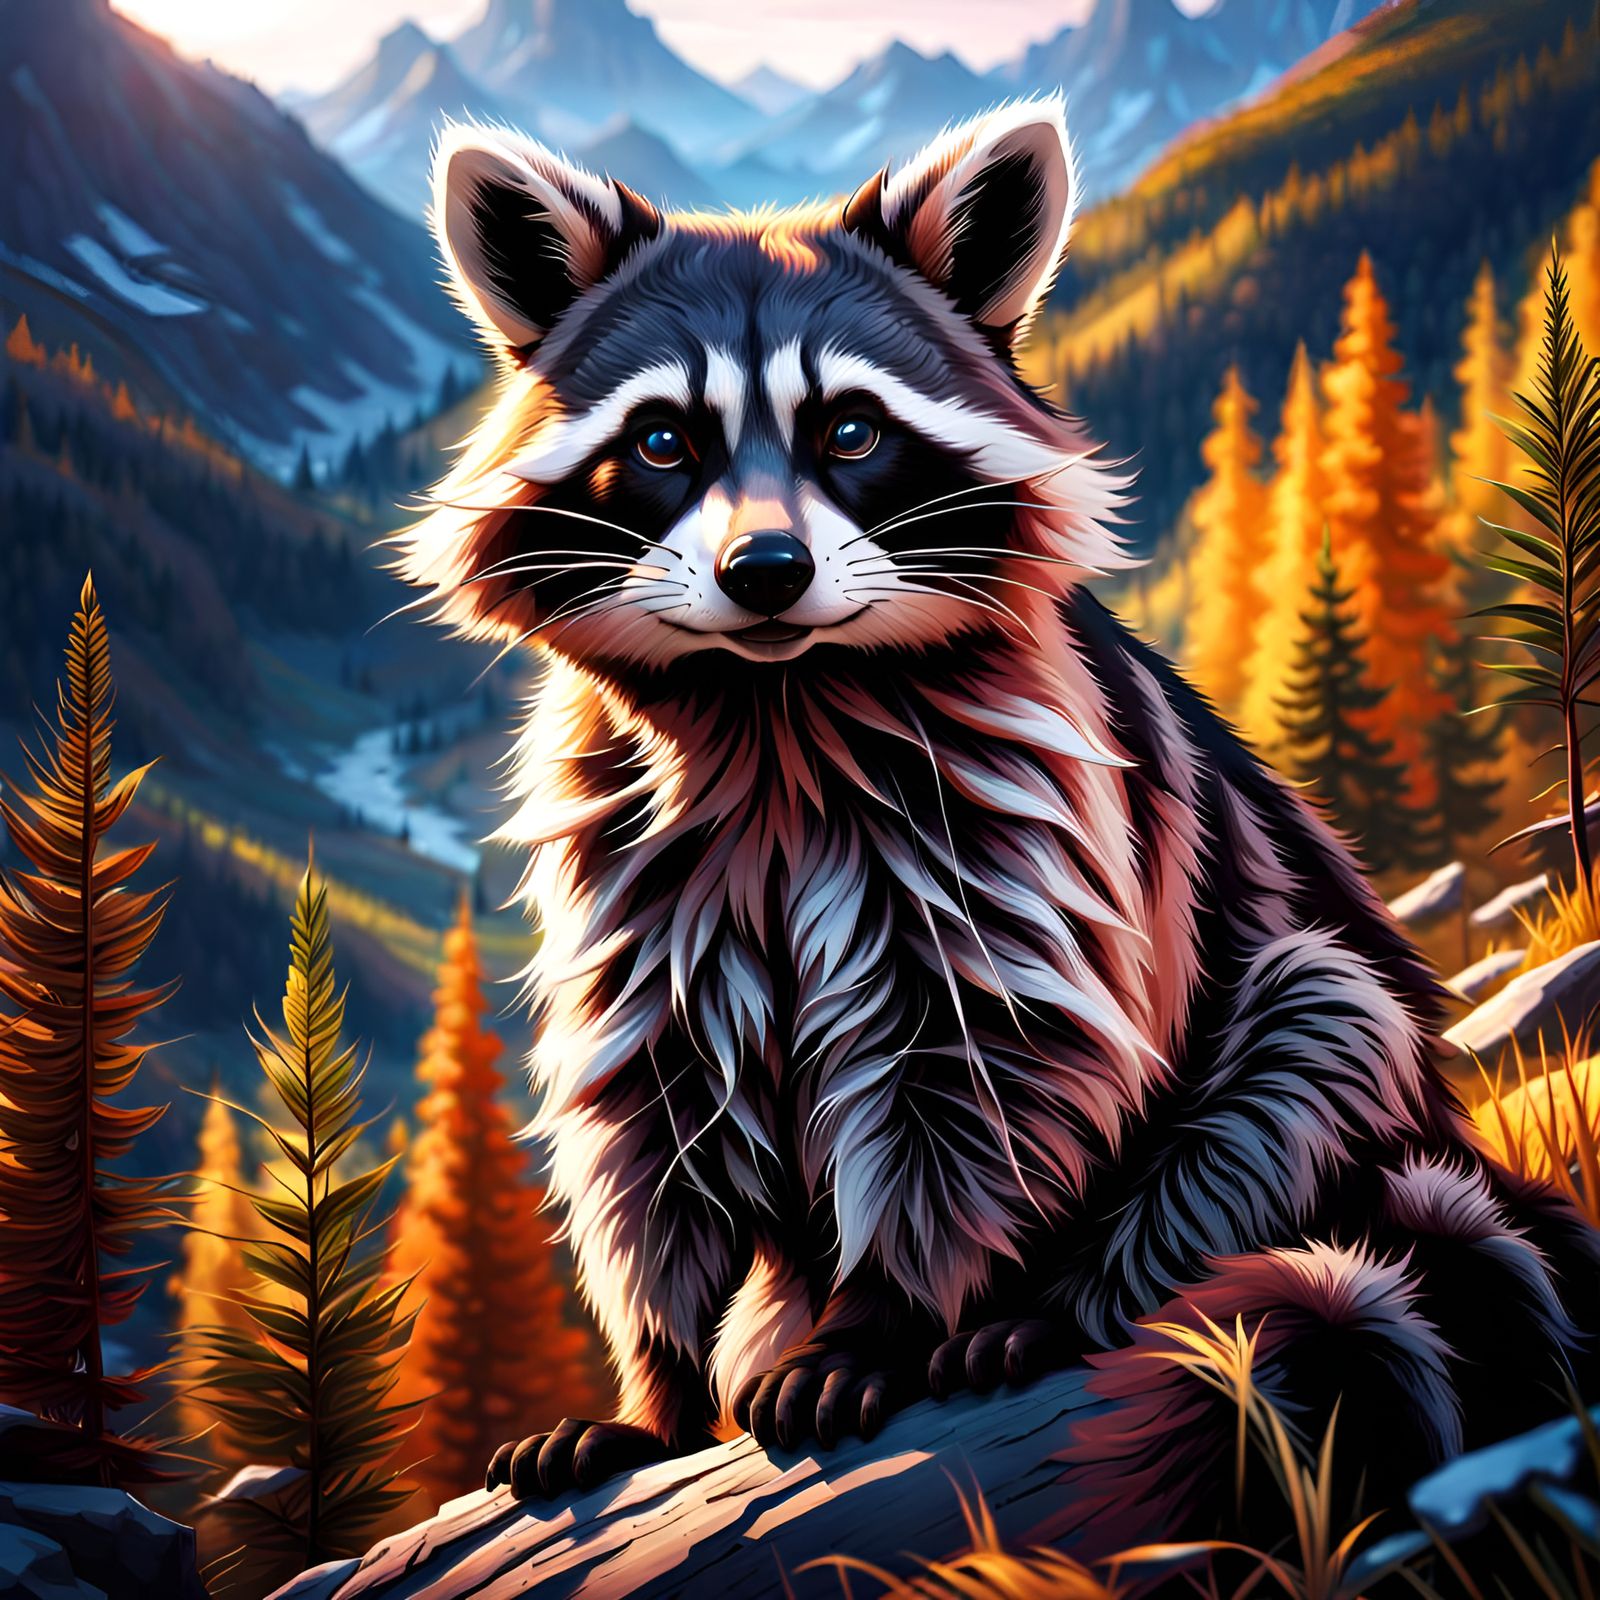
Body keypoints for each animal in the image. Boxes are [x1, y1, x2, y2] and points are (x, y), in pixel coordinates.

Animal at [400, 101, 1597, 1546]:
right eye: (664, 442)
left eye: (851, 431)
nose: (765, 572)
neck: (775, 699)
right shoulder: (634, 870)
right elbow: (658, 1126)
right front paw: (660, 1386)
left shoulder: (1010, 823)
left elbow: (970, 1086)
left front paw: (877, 1322)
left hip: (1322, 1027)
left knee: (1303, 1048)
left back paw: (1061, 1305)